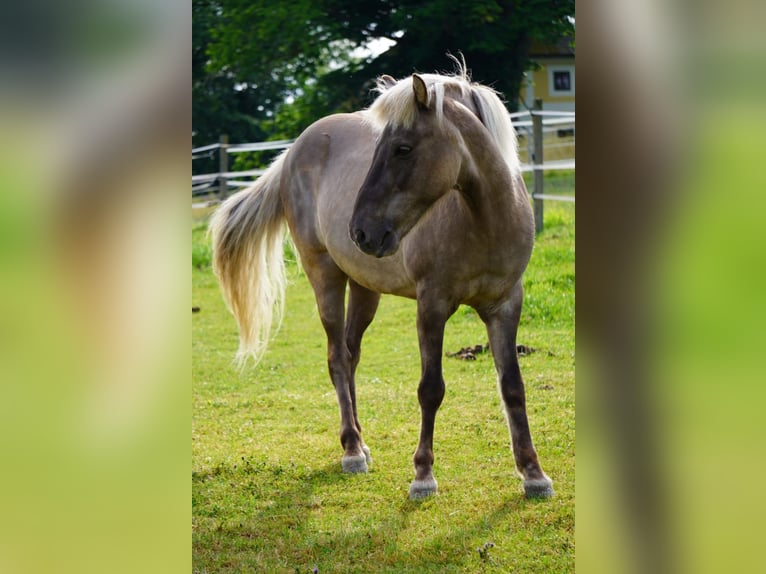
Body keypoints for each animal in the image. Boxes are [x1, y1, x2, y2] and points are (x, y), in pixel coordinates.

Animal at [209, 64, 554, 500]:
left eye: (402, 149)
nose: (361, 231)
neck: (482, 220)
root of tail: (293, 152)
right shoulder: (432, 305)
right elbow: (430, 388)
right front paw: (423, 475)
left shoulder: (506, 305)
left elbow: (512, 386)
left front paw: (533, 473)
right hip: (324, 276)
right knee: (337, 358)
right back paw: (352, 451)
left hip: (364, 289)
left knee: (351, 354)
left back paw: (360, 439)